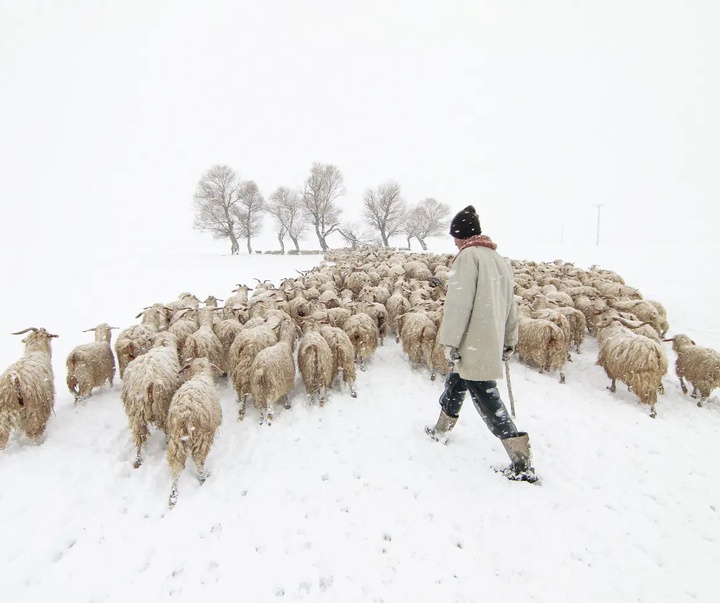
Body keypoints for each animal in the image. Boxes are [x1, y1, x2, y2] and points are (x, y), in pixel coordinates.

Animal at [120, 330, 183, 468]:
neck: (163, 345)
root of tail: (147, 381)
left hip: (136, 413)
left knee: (139, 437)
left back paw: (138, 460)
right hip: (163, 407)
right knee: (166, 429)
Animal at [166, 358, 222, 510]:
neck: (200, 374)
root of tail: (185, 413)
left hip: (176, 439)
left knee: (176, 465)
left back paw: (173, 496)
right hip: (201, 437)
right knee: (198, 459)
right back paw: (203, 478)